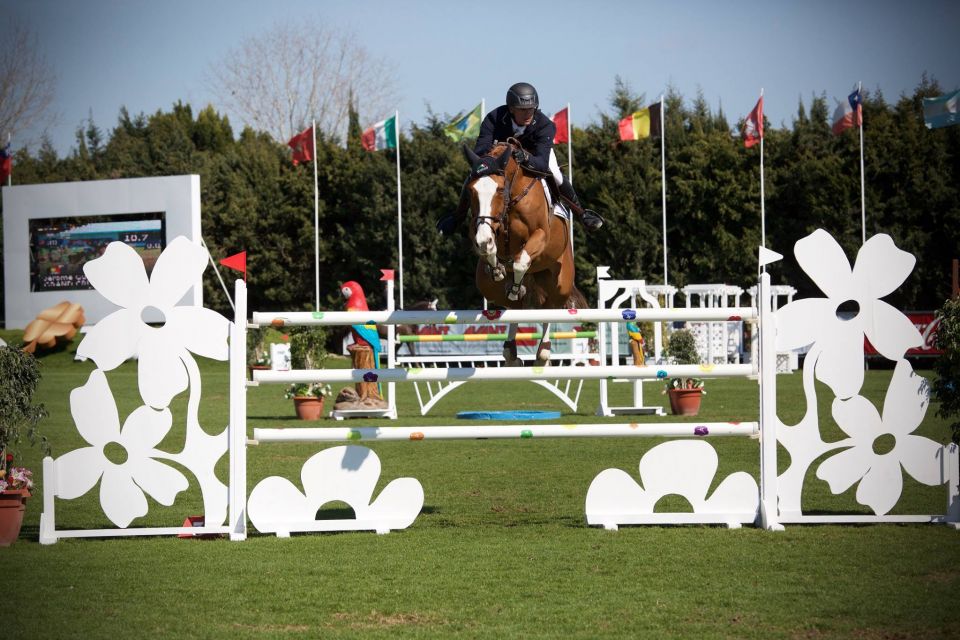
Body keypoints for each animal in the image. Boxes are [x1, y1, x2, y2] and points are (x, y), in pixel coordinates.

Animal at [464, 141, 588, 368]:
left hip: (561, 283)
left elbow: (521, 261)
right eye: (471, 191)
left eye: (500, 189)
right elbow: (492, 249)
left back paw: (543, 353)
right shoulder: (479, 227)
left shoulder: (540, 235)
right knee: (515, 306)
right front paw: (497, 267)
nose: (483, 241)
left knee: (549, 307)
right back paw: (511, 351)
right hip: (488, 286)